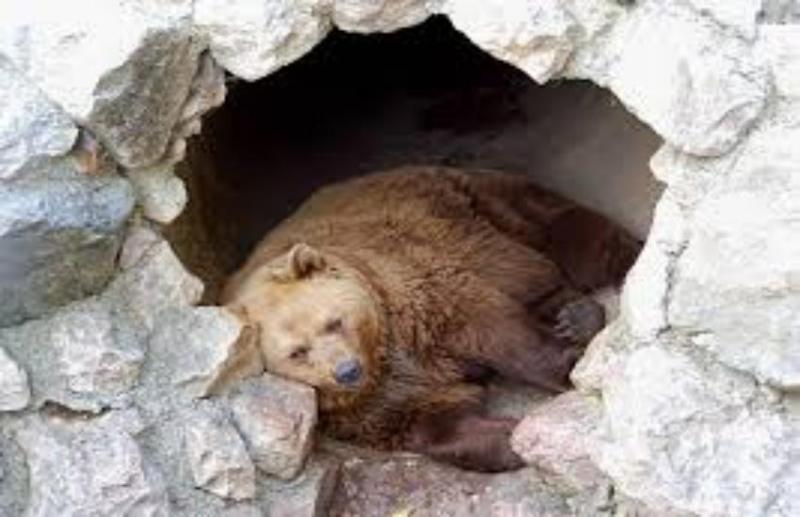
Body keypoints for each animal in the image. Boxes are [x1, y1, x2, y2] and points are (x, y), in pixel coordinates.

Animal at [220, 165, 641, 472]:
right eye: (297, 352)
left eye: (333, 321)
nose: (347, 371)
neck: (383, 351)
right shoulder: (367, 406)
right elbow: (430, 419)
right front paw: (507, 439)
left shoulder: (422, 293)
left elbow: (495, 329)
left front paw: (567, 367)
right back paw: (574, 316)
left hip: (480, 209)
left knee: (566, 239)